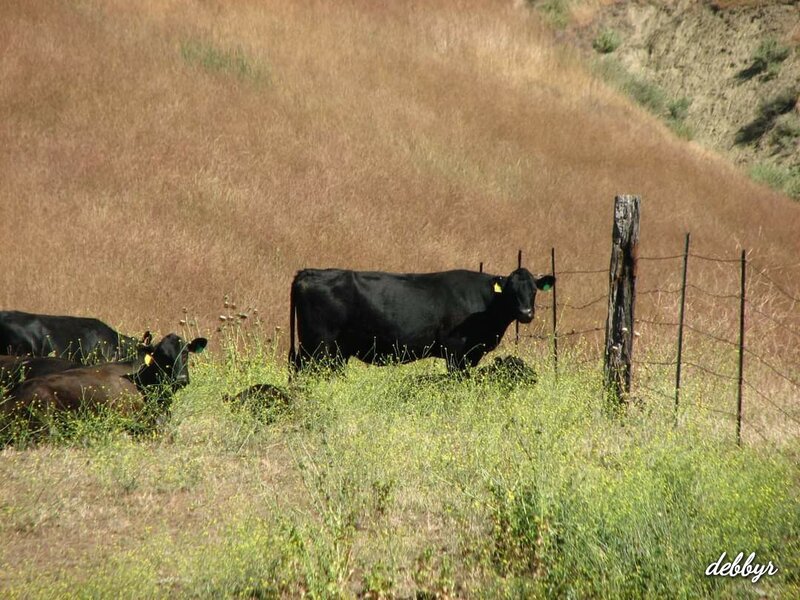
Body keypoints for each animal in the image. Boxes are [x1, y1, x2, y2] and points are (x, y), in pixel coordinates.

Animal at [288, 267, 554, 373]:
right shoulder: (456, 351)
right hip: (318, 346)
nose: (526, 313)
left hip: (335, 351)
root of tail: (308, 272)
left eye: (534, 290)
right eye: (511, 291)